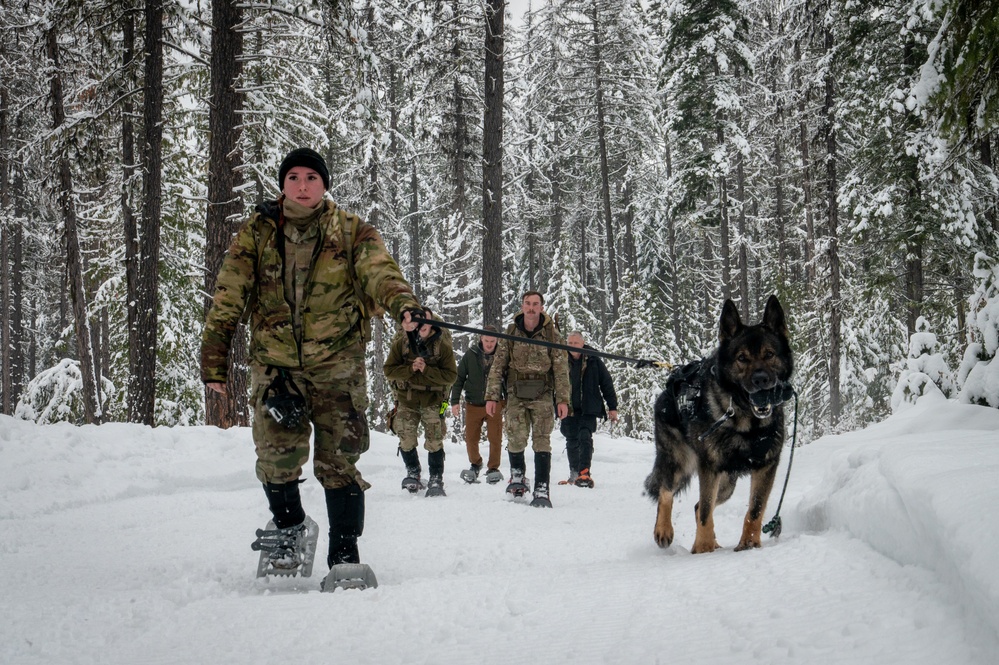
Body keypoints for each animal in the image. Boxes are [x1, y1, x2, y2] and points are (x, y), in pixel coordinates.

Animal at [648, 296, 796, 556]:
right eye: (742, 358)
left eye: (769, 354)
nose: (761, 380)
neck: (746, 423)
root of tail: (671, 381)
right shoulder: (709, 467)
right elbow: (706, 511)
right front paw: (703, 548)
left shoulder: (766, 466)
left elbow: (755, 509)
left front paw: (749, 544)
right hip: (680, 460)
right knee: (666, 491)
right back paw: (664, 530)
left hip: (727, 484)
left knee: (696, 505)